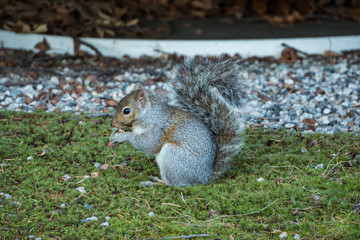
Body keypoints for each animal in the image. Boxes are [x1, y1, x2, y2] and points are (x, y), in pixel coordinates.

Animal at [111, 55, 249, 187]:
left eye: (126, 111)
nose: (112, 123)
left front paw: (122, 136)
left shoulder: (157, 128)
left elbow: (149, 144)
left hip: (172, 156)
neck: (148, 115)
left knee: (174, 184)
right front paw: (116, 133)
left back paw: (157, 182)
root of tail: (204, 178)